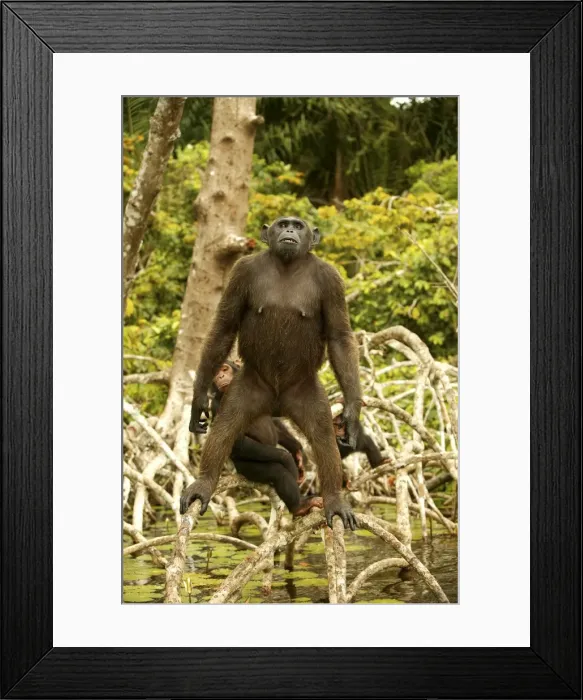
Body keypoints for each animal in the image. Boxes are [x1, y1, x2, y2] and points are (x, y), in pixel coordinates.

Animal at [181, 216, 363, 530]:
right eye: (282, 224)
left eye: (299, 226)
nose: (288, 231)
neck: (287, 265)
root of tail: (277, 403)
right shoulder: (241, 272)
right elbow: (224, 328)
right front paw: (199, 397)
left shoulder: (331, 281)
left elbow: (339, 336)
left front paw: (351, 411)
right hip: (251, 387)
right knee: (227, 425)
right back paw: (204, 484)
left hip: (303, 391)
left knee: (322, 434)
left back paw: (332, 499)